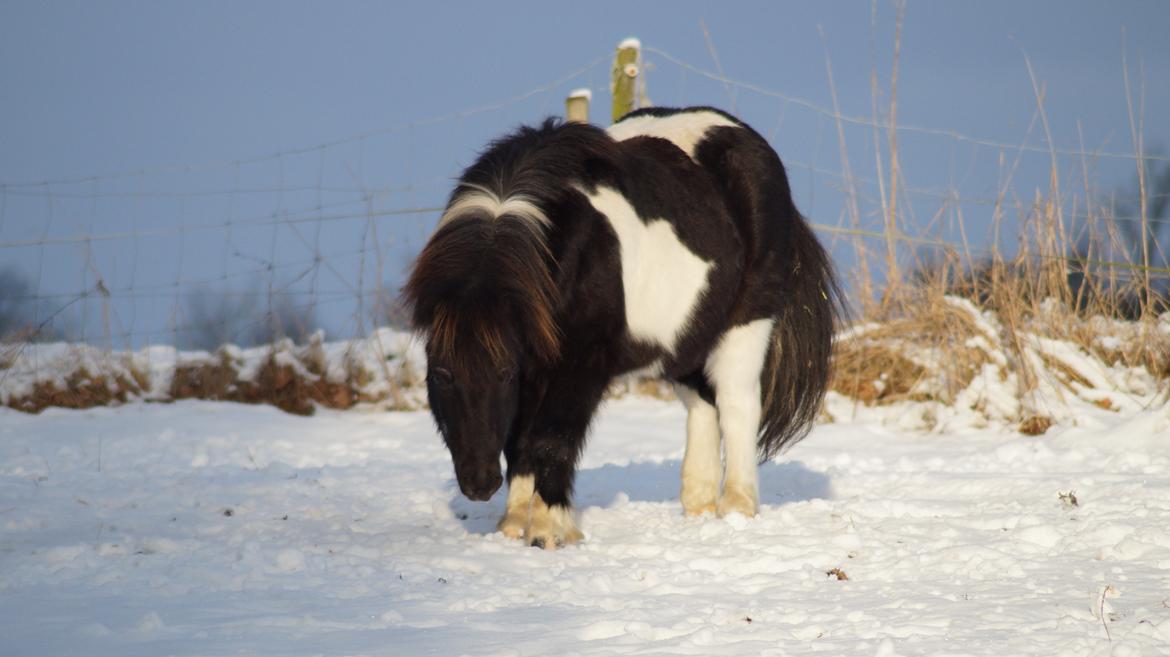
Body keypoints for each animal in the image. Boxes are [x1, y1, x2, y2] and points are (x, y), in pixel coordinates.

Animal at [404, 107, 842, 547]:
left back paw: (736, 508)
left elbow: (551, 438)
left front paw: (548, 530)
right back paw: (698, 504)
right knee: (702, 403)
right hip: (687, 337)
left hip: (747, 323)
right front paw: (513, 524)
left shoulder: (578, 366)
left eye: (503, 373)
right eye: (440, 375)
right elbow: (519, 442)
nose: (479, 483)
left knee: (738, 404)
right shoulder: (532, 363)